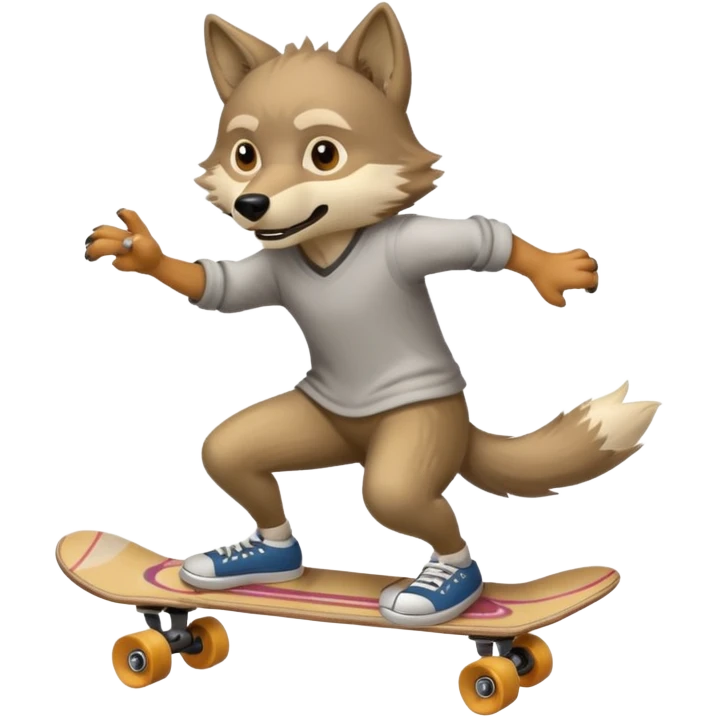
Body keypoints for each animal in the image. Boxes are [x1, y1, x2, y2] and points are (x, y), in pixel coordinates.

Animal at [84, 4, 660, 627]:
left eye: (324, 154)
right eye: (245, 155)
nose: (252, 204)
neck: (328, 243)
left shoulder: (406, 244)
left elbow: (481, 238)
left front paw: (553, 269)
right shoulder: (275, 267)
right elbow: (225, 288)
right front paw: (142, 253)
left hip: (422, 431)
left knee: (398, 495)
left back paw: (448, 589)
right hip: (318, 422)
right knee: (230, 453)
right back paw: (268, 562)